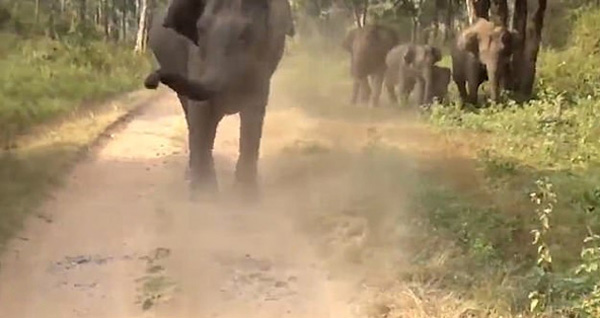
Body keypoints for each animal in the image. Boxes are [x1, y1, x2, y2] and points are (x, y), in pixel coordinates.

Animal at [145, 0, 296, 198]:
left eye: (246, 33)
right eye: (200, 29)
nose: (150, 81)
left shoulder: (265, 60)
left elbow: (254, 111)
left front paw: (246, 196)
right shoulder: (196, 54)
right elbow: (200, 111)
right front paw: (204, 195)